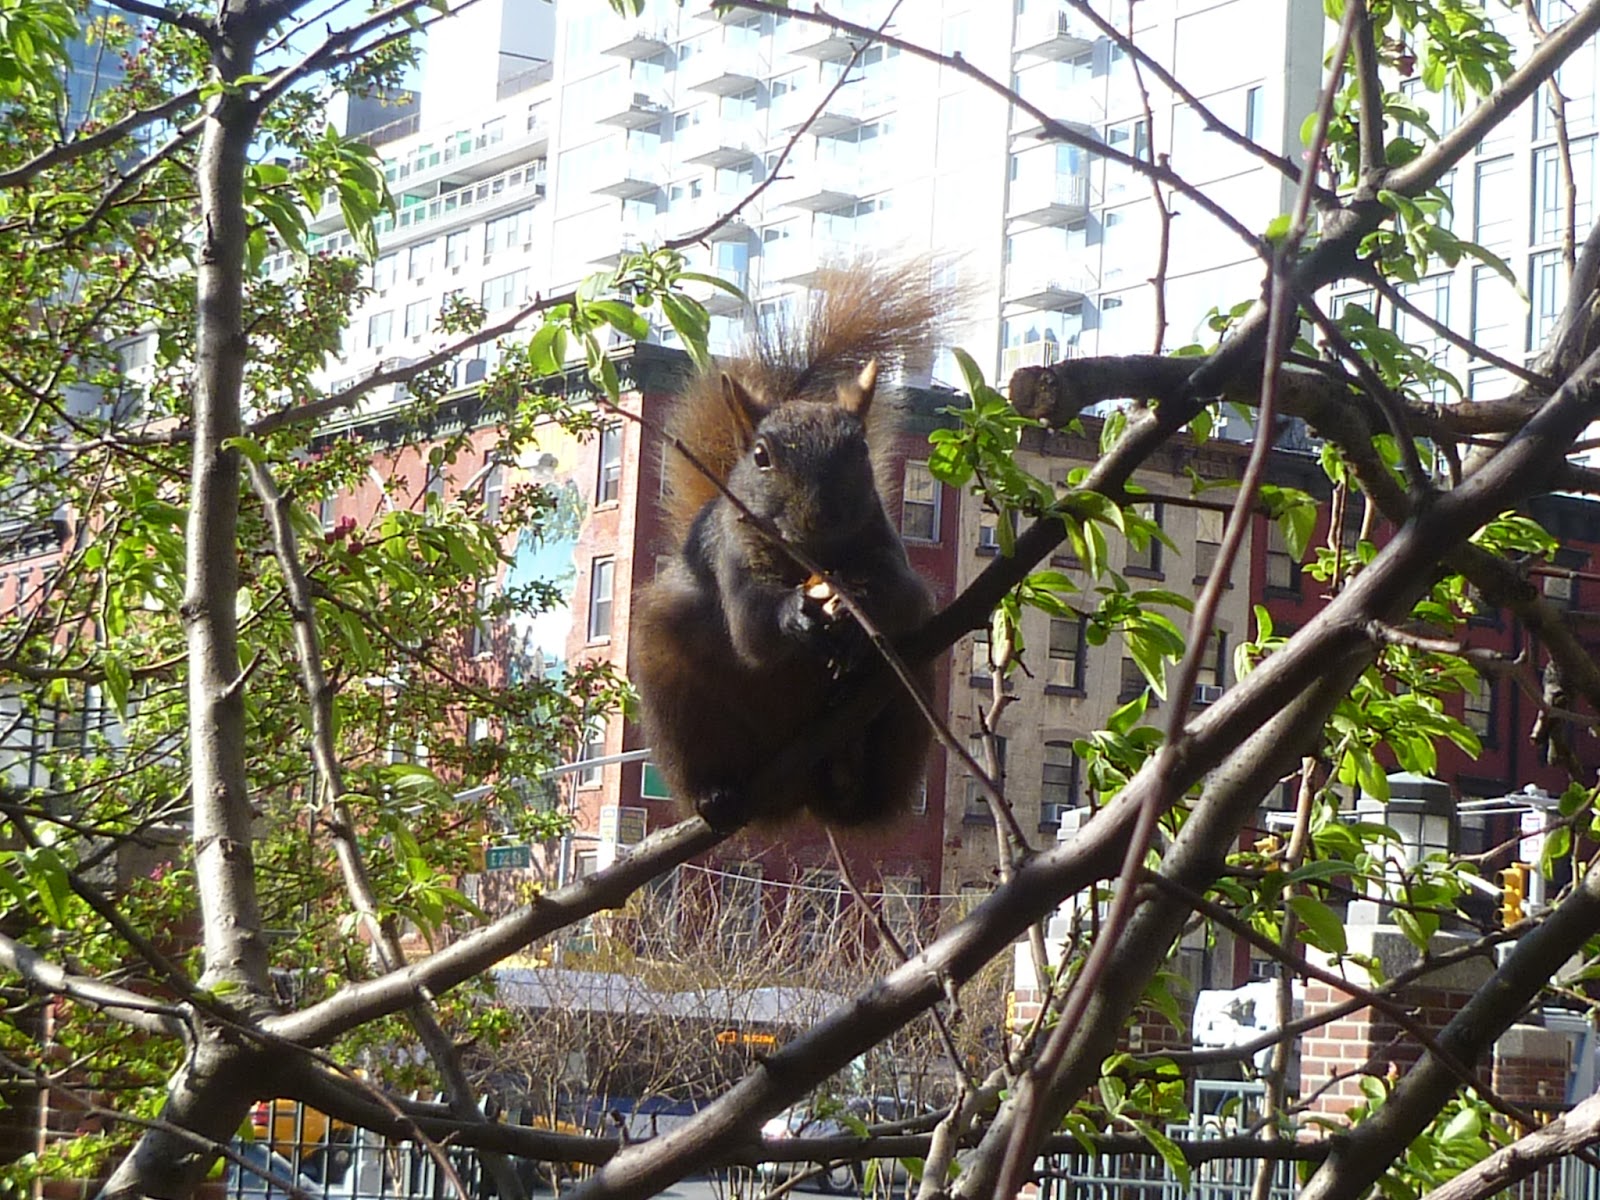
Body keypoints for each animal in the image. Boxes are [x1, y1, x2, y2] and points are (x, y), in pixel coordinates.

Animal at [632, 265, 942, 829]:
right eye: (761, 456)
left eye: (860, 449)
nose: (820, 516)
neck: (812, 561)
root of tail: (802, 795)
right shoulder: (731, 555)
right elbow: (751, 625)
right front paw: (797, 615)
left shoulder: (888, 550)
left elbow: (901, 596)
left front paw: (858, 608)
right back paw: (714, 793)